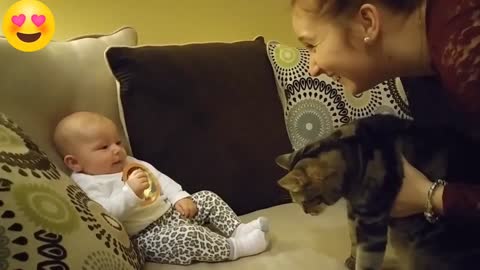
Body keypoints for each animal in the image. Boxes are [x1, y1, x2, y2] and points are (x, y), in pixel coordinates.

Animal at [276, 114, 480, 270]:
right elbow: (353, 237)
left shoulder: (372, 222)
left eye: (305, 201)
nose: (306, 213)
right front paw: (352, 259)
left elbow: (366, 260)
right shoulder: (354, 211)